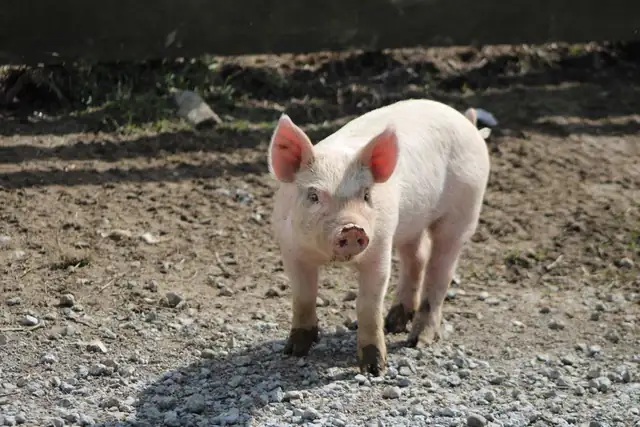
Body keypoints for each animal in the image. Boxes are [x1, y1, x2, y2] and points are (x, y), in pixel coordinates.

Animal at [267, 99, 491, 376]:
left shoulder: (380, 245)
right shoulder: (290, 249)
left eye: (366, 195)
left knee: (440, 272)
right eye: (313, 196)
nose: (352, 228)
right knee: (417, 257)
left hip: (463, 211)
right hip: (410, 224)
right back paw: (394, 324)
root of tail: (467, 122)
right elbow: (303, 296)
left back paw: (417, 341)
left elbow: (367, 305)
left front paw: (375, 369)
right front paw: (293, 351)